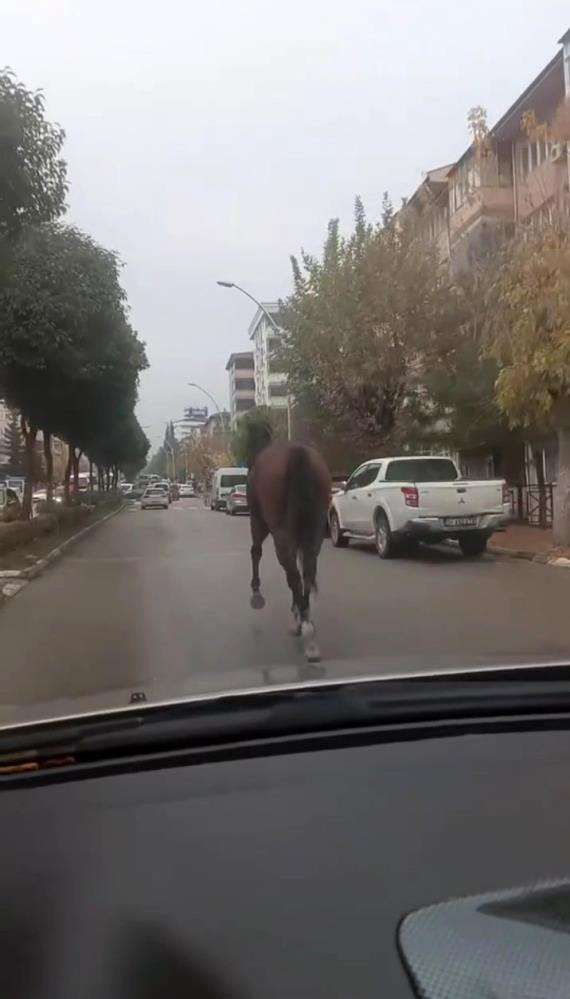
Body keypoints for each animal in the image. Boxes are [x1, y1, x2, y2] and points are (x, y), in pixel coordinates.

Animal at [248, 439, 331, 663]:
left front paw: (256, 592)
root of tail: (296, 451)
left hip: (275, 530)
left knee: (293, 576)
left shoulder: (258, 520)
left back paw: (302, 627)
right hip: (315, 532)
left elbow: (256, 551)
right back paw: (307, 628)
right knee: (307, 574)